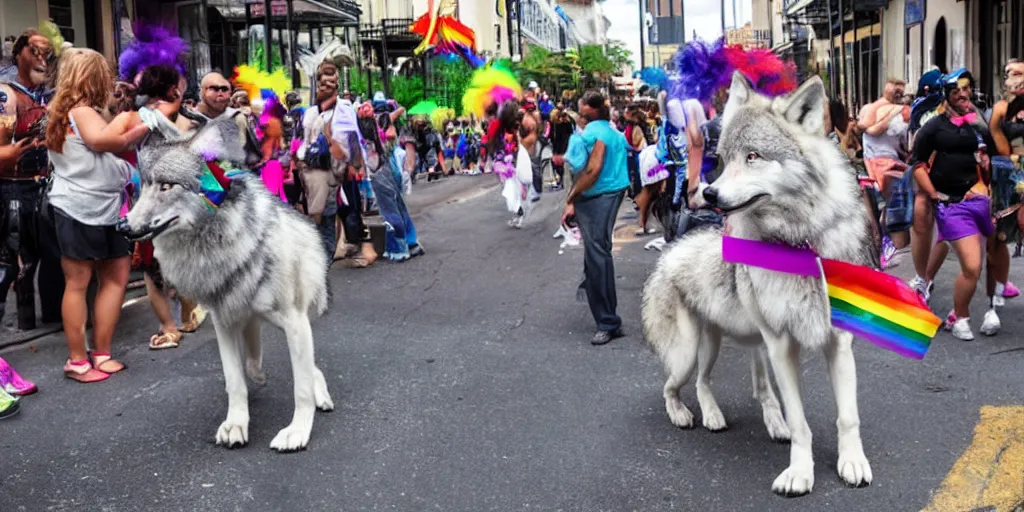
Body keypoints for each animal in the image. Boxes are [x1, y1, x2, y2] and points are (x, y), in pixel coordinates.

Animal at [119, 112, 333, 452]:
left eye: (166, 186)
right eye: (144, 188)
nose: (122, 227)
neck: (218, 248)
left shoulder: (294, 320)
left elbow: (300, 387)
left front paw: (297, 432)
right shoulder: (224, 321)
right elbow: (235, 380)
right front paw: (236, 423)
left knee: (306, 368)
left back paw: (318, 394)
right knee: (256, 356)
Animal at [638, 73, 872, 495]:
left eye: (753, 157)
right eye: (723, 158)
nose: (708, 192)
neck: (799, 245)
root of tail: (669, 253)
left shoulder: (838, 342)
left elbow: (847, 416)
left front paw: (852, 463)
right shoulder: (781, 345)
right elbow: (801, 423)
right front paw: (800, 474)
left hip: (737, 344)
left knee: (738, 388)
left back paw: (752, 421)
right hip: (690, 351)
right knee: (678, 386)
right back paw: (690, 415)